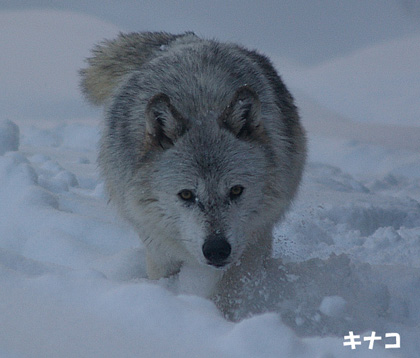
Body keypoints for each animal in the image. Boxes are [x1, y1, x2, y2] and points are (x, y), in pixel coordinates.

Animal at [80, 30, 306, 306]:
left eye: (236, 191)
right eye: (186, 194)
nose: (217, 250)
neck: (201, 105)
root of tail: (185, 38)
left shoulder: (252, 239)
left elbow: (232, 287)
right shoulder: (158, 244)